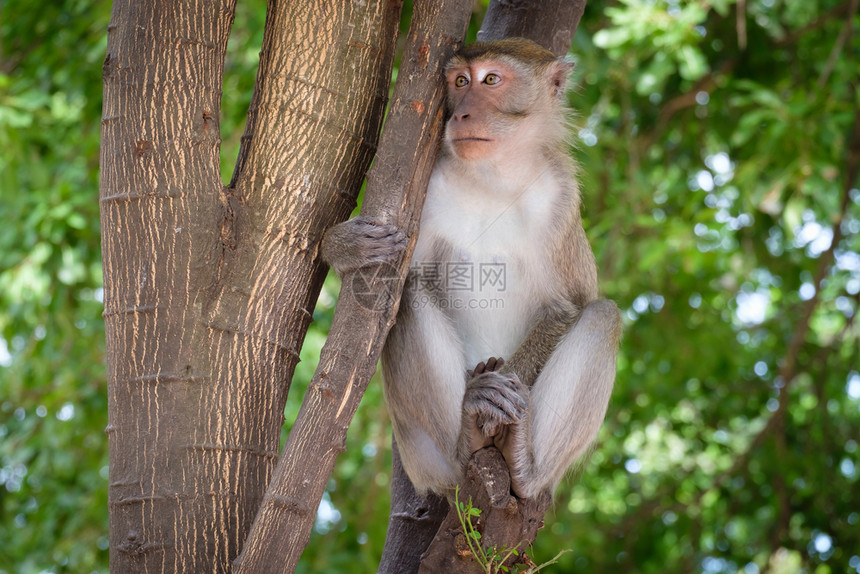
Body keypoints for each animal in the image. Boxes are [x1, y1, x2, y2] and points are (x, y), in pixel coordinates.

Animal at [322, 38, 620, 502]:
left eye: (491, 79)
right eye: (461, 82)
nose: (461, 112)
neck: (493, 176)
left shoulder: (561, 197)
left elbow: (568, 306)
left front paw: (504, 385)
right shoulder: (425, 192)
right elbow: (389, 282)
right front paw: (342, 246)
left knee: (603, 316)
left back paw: (524, 466)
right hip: (423, 458)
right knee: (408, 294)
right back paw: (467, 436)